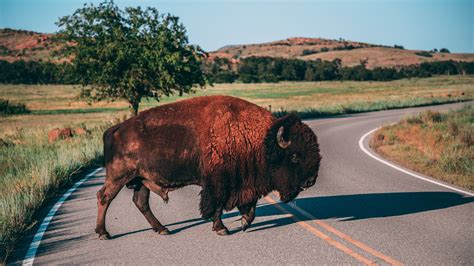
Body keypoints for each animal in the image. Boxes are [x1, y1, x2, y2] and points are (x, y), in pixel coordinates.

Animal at [94, 94, 320, 238]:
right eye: (295, 156)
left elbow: (250, 207)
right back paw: (104, 233)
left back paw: (163, 229)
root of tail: (115, 129)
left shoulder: (245, 183)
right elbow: (217, 206)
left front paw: (244, 223)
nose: (310, 181)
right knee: (104, 197)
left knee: (141, 202)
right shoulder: (218, 183)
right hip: (119, 175)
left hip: (141, 180)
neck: (259, 139)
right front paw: (222, 229)